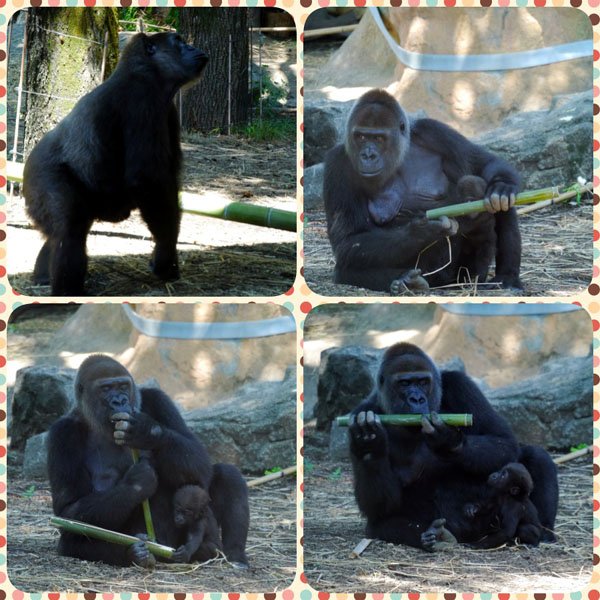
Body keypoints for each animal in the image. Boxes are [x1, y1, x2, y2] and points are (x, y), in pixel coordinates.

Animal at [24, 32, 209, 296]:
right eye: (179, 42)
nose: (194, 48)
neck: (150, 71)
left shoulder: (169, 111)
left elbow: (168, 181)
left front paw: (167, 259)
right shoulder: (142, 99)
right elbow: (148, 179)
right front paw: (165, 255)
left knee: (61, 233)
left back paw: (42, 277)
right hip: (39, 176)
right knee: (70, 232)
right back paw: (68, 293)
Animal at [47, 356, 251, 568]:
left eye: (123, 386)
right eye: (106, 388)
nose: (120, 401)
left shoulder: (158, 399)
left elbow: (200, 463)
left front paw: (146, 432)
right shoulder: (62, 433)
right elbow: (68, 509)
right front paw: (137, 483)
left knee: (227, 474)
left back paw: (234, 556)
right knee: (71, 539)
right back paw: (137, 552)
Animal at [322, 90, 524, 294]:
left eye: (379, 138)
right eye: (361, 137)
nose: (368, 155)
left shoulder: (435, 132)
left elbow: (484, 163)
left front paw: (502, 186)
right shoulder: (338, 164)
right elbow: (348, 240)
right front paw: (422, 231)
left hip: (463, 276)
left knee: (492, 197)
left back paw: (506, 277)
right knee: (344, 268)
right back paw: (406, 281)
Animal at [346, 344, 556, 552]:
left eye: (423, 382)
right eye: (404, 383)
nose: (417, 399)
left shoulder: (460, 383)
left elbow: (503, 441)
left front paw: (448, 442)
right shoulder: (360, 413)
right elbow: (380, 506)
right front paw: (370, 442)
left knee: (536, 456)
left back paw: (543, 533)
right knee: (377, 525)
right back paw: (435, 535)